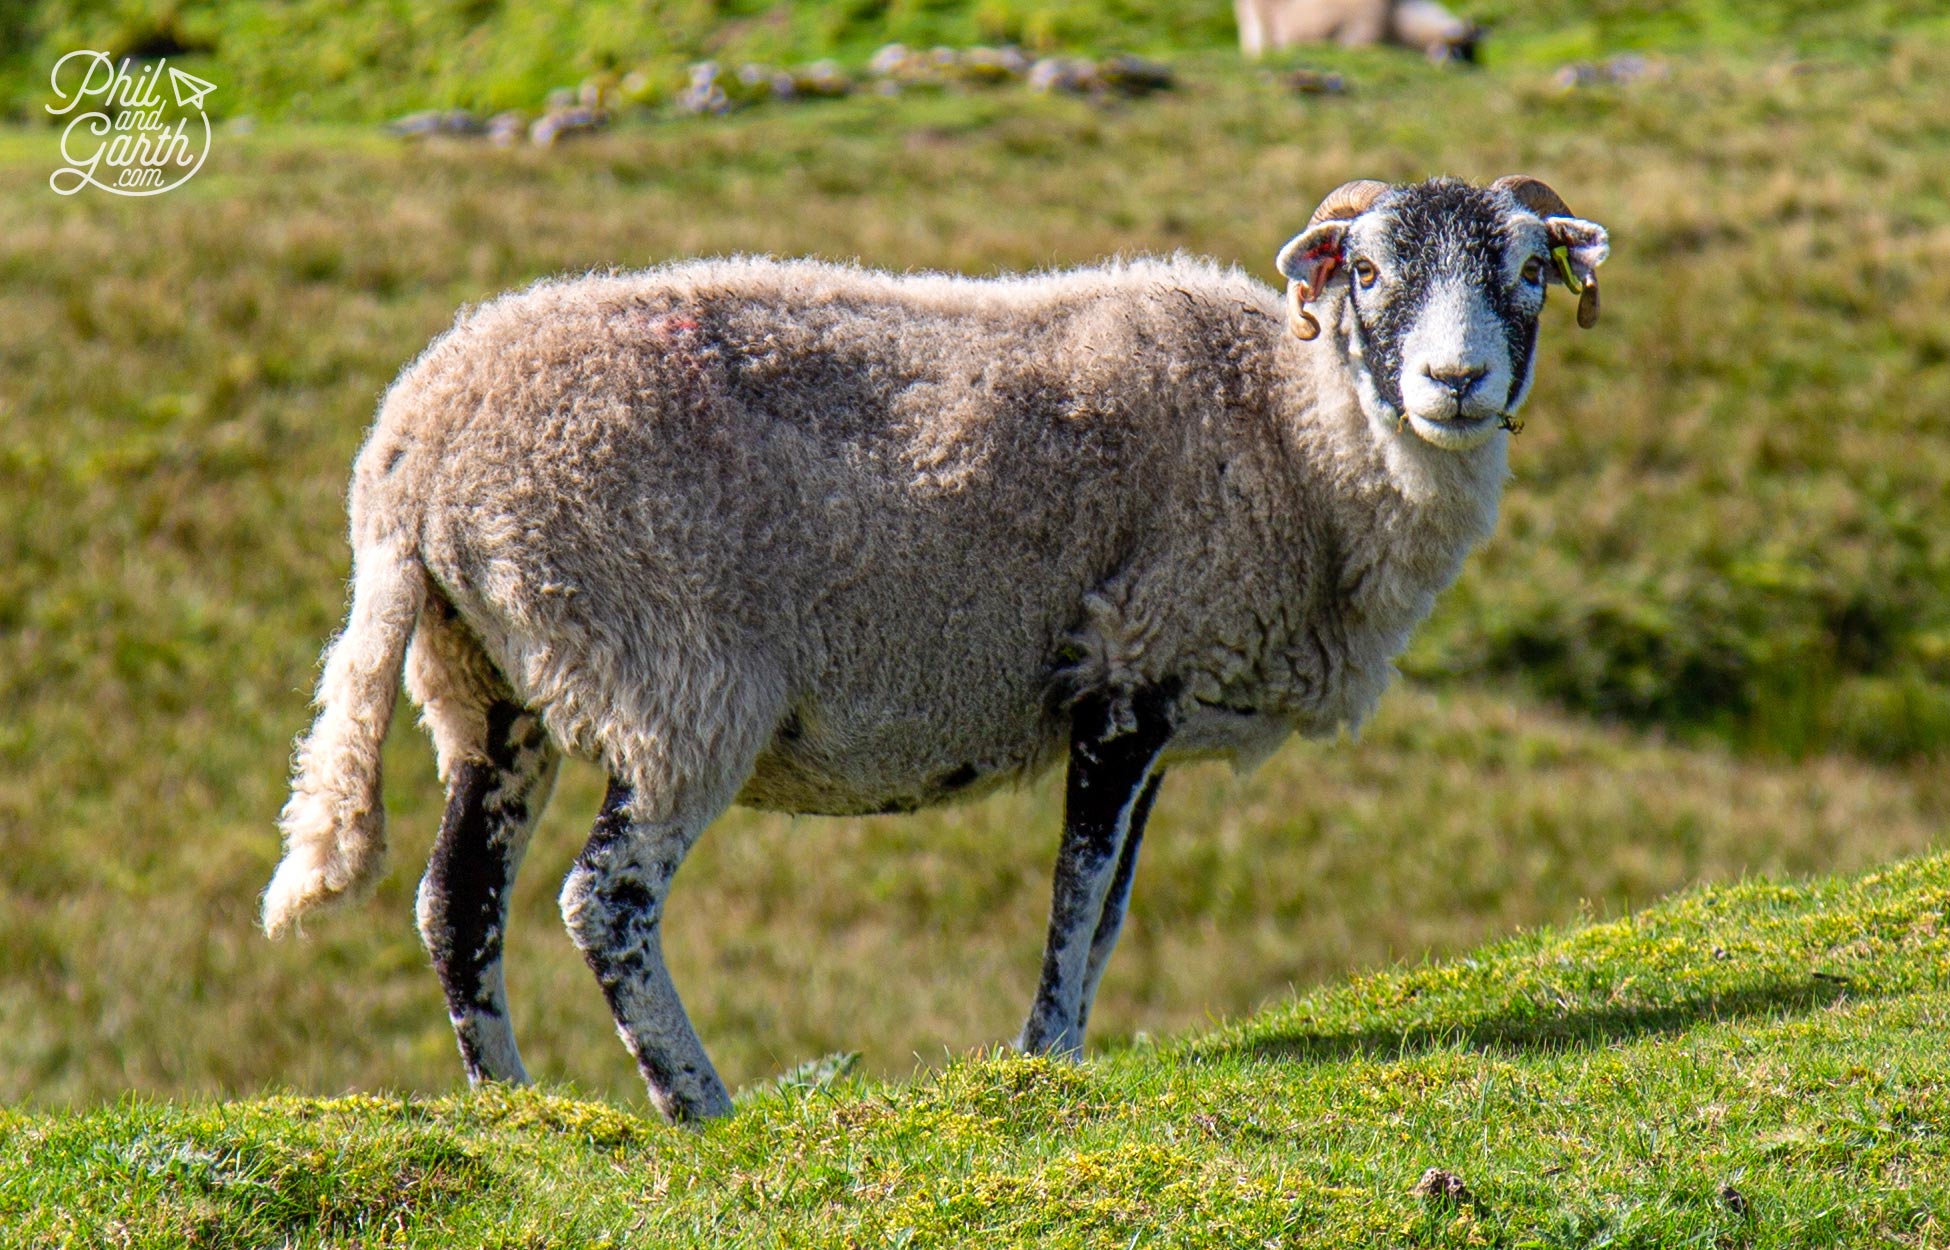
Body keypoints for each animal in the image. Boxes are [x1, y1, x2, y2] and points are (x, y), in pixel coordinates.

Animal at [267, 175, 1614, 1123]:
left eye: (1526, 271)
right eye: (1371, 272)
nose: (1455, 379)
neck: (1292, 430)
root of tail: (409, 455)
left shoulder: (1155, 699)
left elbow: (1111, 908)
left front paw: (1063, 1050)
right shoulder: (1131, 664)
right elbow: (1078, 897)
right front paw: (1045, 1058)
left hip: (491, 683)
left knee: (458, 900)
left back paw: (517, 1106)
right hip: (668, 674)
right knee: (605, 898)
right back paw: (702, 1106)